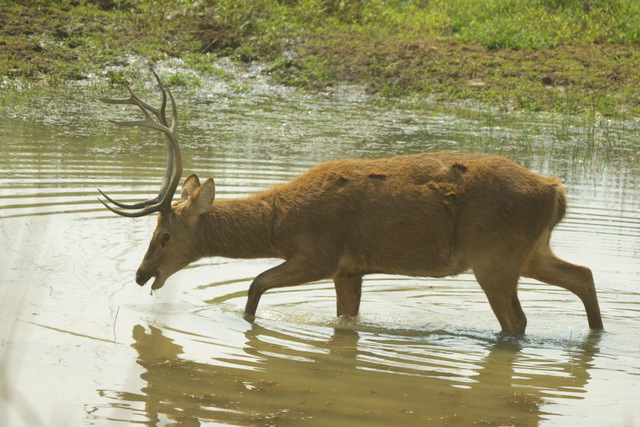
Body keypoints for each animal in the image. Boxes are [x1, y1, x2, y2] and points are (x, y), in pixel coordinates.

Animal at [97, 72, 604, 334]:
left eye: (164, 235)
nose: (140, 274)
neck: (280, 223)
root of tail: (555, 191)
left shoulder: (320, 254)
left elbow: (255, 285)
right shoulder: (350, 268)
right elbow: (345, 317)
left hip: (493, 255)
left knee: (517, 320)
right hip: (530, 251)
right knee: (582, 274)